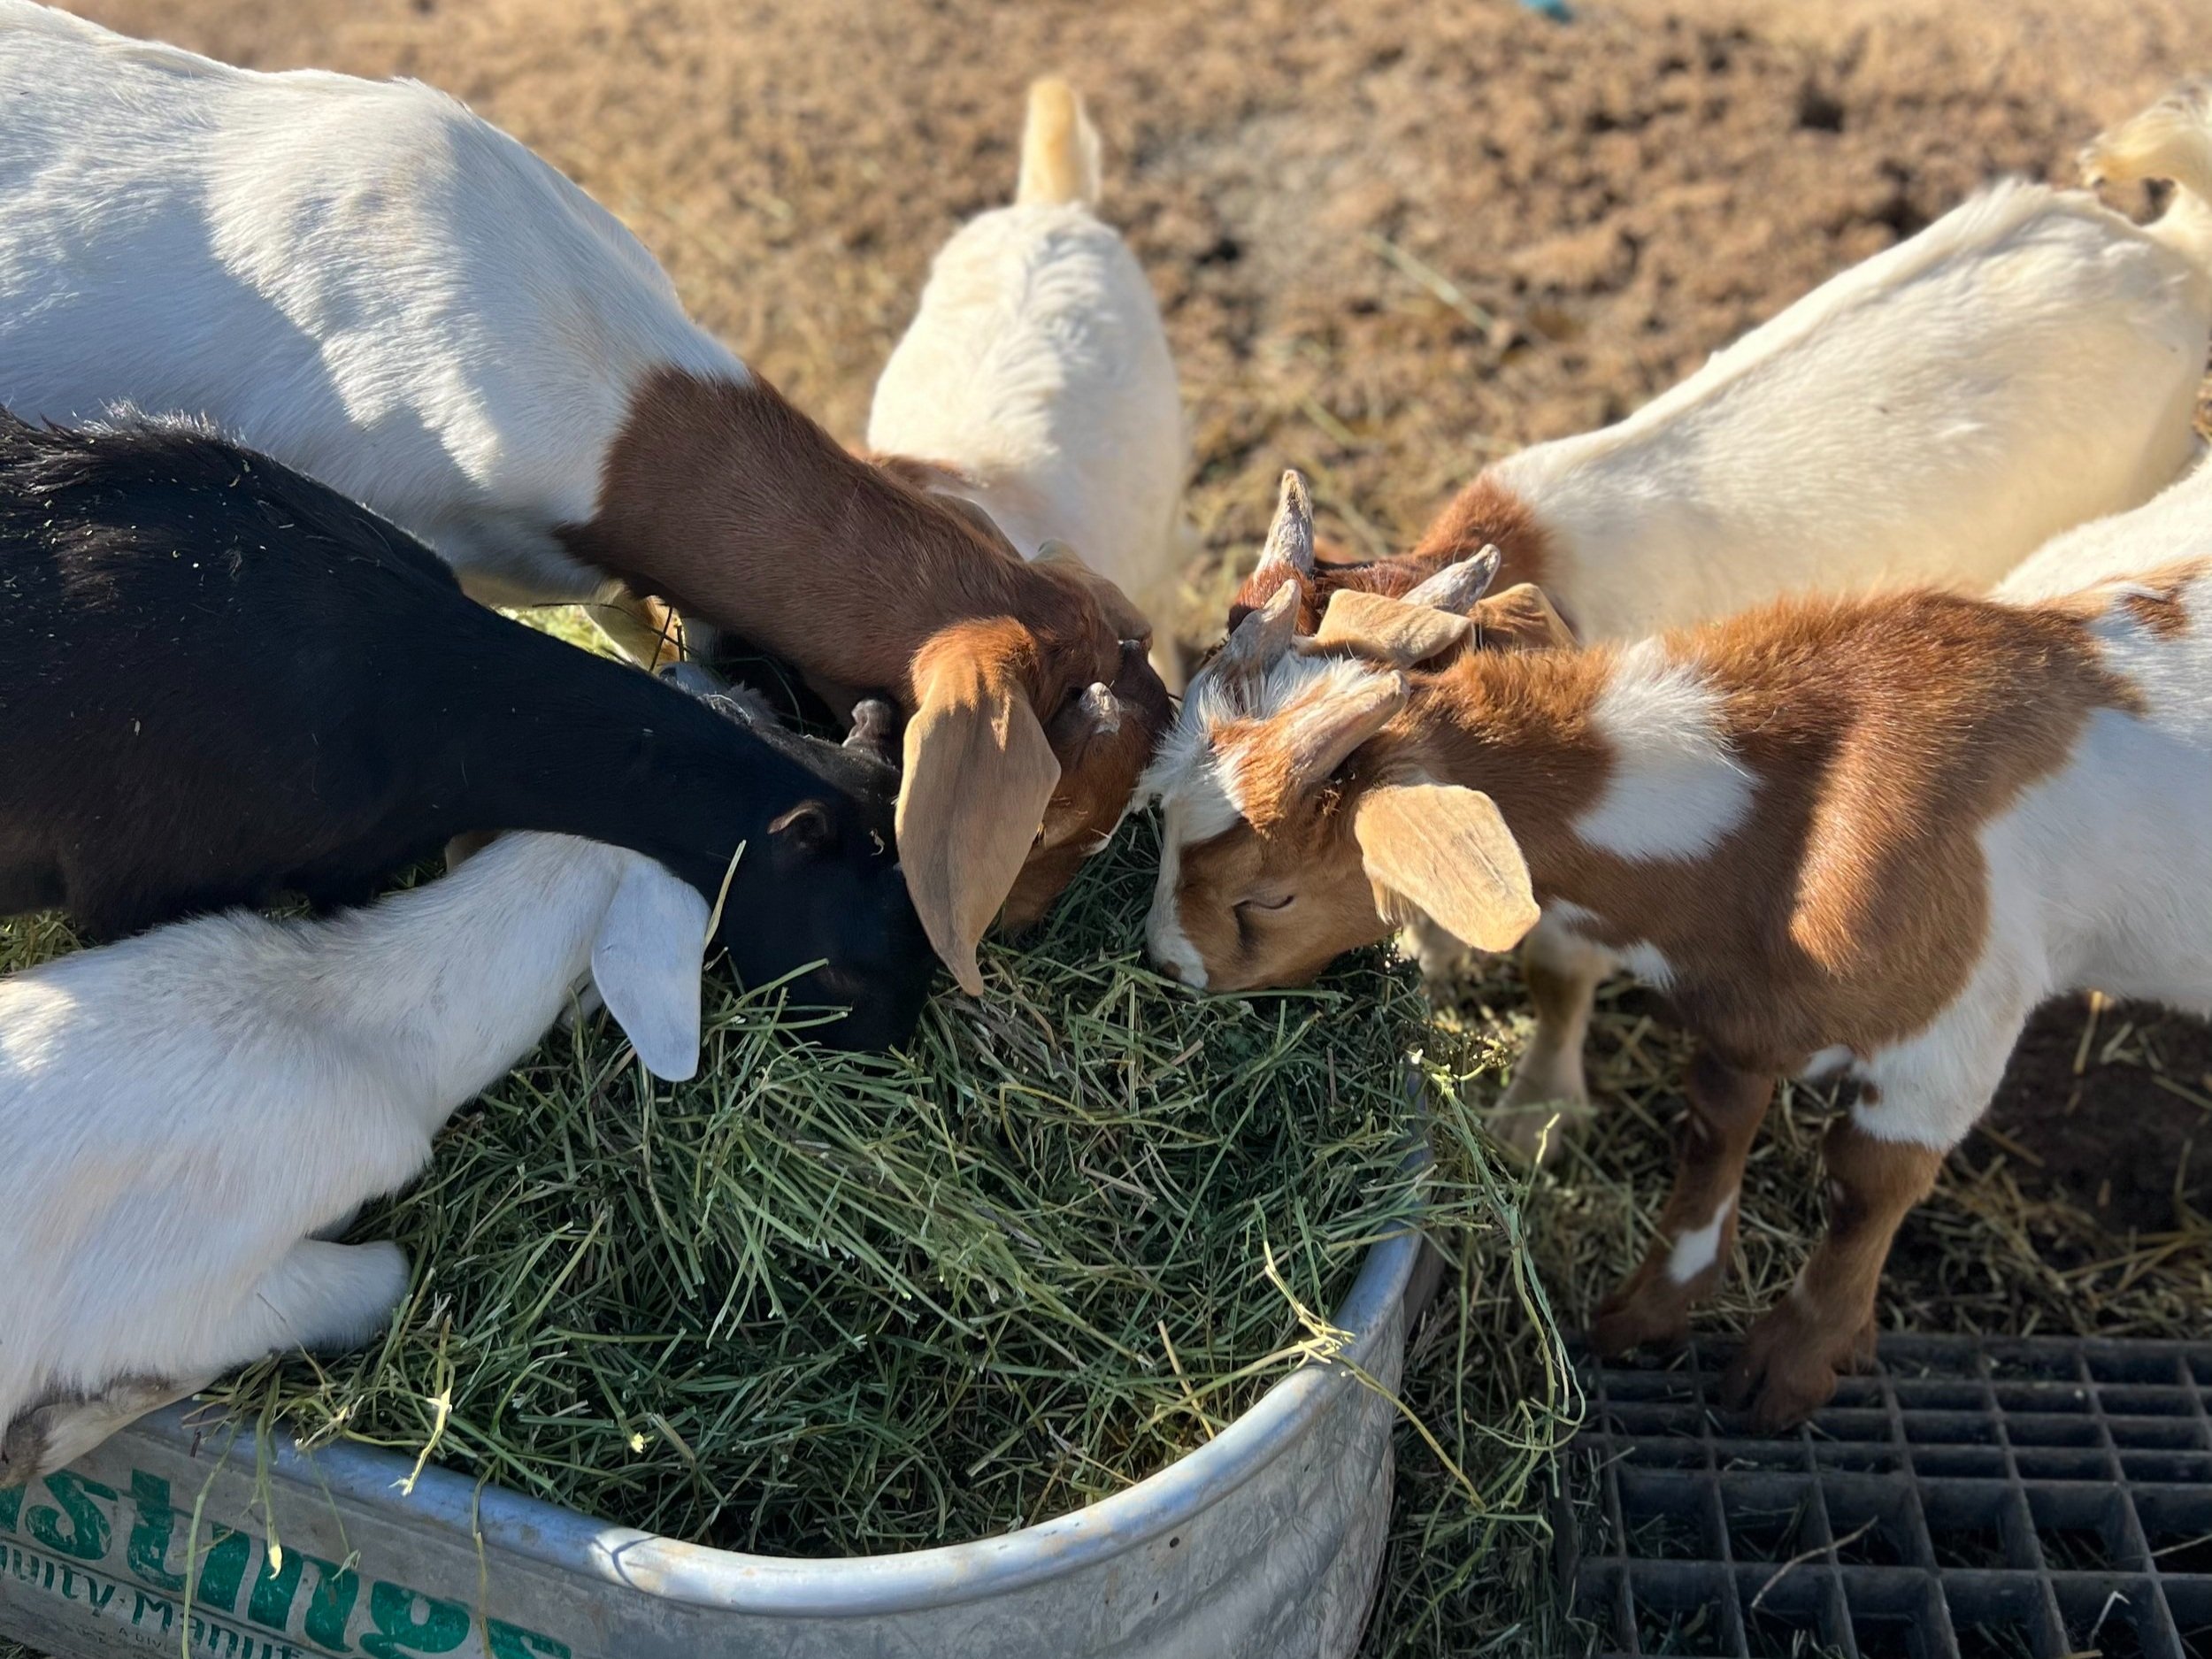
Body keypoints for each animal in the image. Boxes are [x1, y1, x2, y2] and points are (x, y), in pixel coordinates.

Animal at [1144, 465, 2212, 1429]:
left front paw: (1789, 1371)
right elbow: (1715, 1125)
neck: (1800, 804)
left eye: (1267, 894)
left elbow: (1867, 1185)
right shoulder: (1740, 1009)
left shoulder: (1949, 1037)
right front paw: (1648, 1312)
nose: (1162, 963)